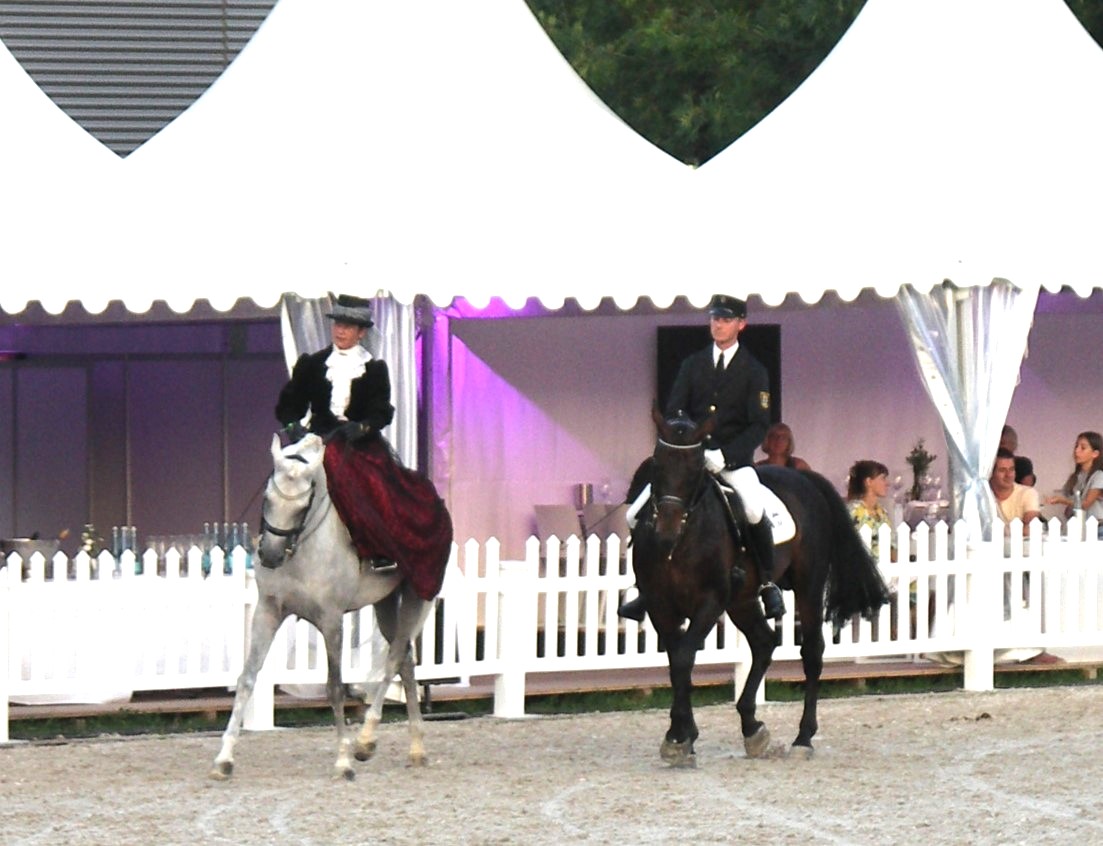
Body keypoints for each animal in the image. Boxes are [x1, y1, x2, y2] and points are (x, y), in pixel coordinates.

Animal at [210, 433, 448, 780]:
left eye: (303, 505)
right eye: (267, 496)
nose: (270, 555)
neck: (302, 547)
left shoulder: (332, 620)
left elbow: (335, 687)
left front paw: (344, 762)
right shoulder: (268, 611)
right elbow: (247, 678)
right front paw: (223, 760)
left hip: (418, 596)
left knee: (393, 660)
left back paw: (365, 741)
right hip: (386, 601)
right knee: (404, 660)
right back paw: (415, 750)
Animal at [631, 408, 889, 766]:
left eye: (697, 468)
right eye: (657, 463)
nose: (665, 531)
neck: (681, 541)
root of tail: (805, 480)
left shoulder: (710, 602)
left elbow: (683, 659)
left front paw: (680, 737)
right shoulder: (660, 606)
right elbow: (676, 663)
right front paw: (681, 734)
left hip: (807, 586)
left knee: (811, 651)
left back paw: (803, 738)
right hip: (741, 600)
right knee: (765, 641)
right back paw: (752, 727)